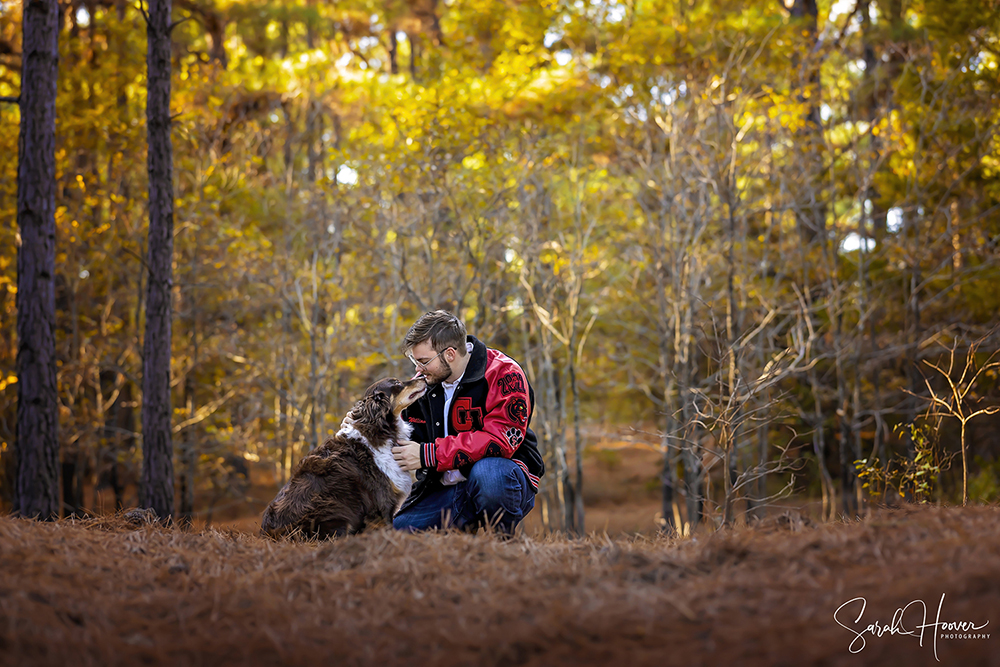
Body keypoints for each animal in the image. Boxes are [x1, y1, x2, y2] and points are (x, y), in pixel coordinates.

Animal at [260, 378, 428, 540]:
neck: (379, 429)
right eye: (397, 383)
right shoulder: (383, 501)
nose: (423, 377)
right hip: (335, 511)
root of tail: (268, 533)